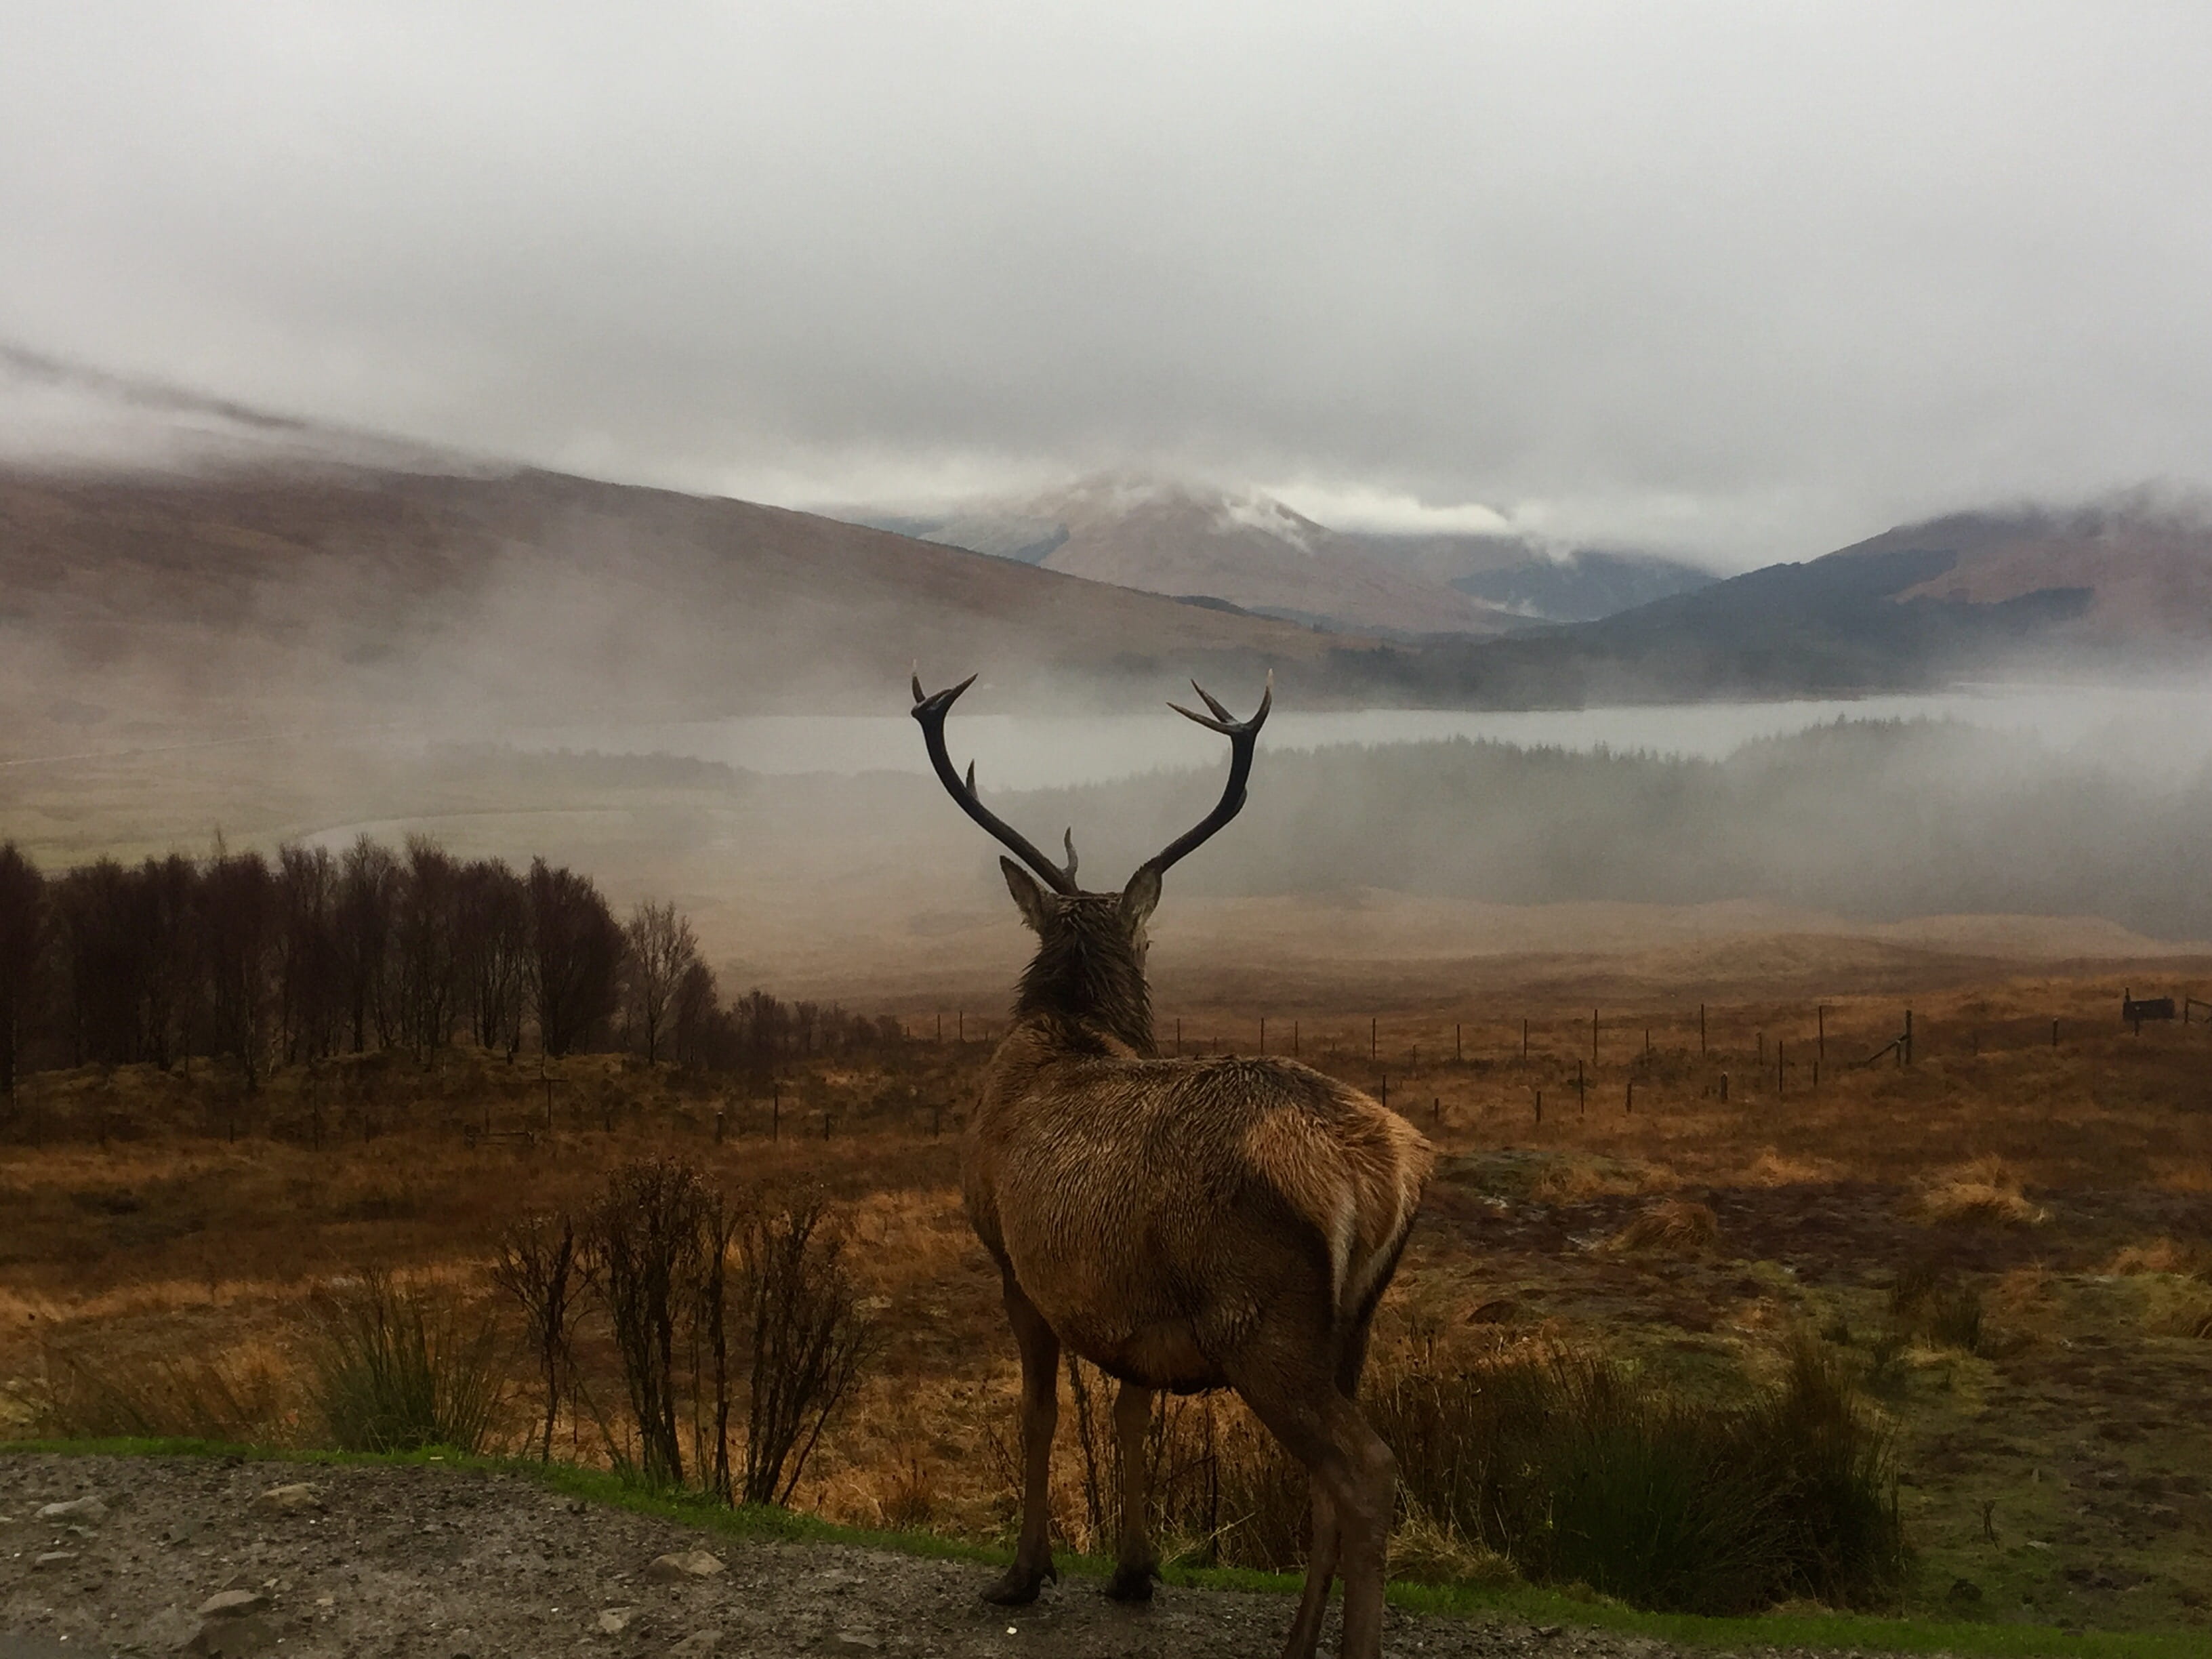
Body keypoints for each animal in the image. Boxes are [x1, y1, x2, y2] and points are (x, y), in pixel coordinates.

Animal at [911, 670, 1434, 1659]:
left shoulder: (1011, 1260)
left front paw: (1023, 1573)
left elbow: (1038, 1416)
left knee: (1370, 1469)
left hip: (1259, 1318)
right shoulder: (1134, 1307)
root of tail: (1384, 1178)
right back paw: (1297, 1643)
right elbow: (1132, 1415)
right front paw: (1132, 1570)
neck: (1069, 1031)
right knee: (1332, 1483)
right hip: (1352, 1324)